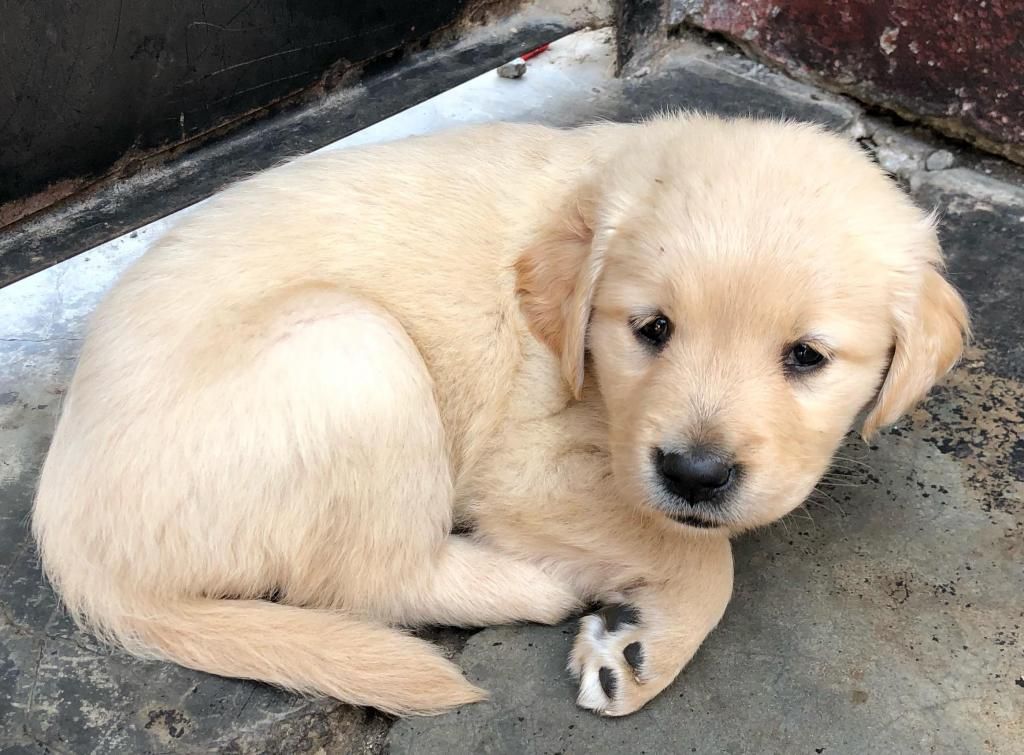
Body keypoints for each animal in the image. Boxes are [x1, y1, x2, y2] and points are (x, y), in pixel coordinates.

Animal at [34, 114, 966, 717]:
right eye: (651, 330)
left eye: (806, 357)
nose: (694, 474)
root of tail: (67, 530)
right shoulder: (528, 469)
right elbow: (704, 560)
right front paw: (644, 650)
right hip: (351, 350)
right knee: (368, 579)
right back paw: (529, 583)